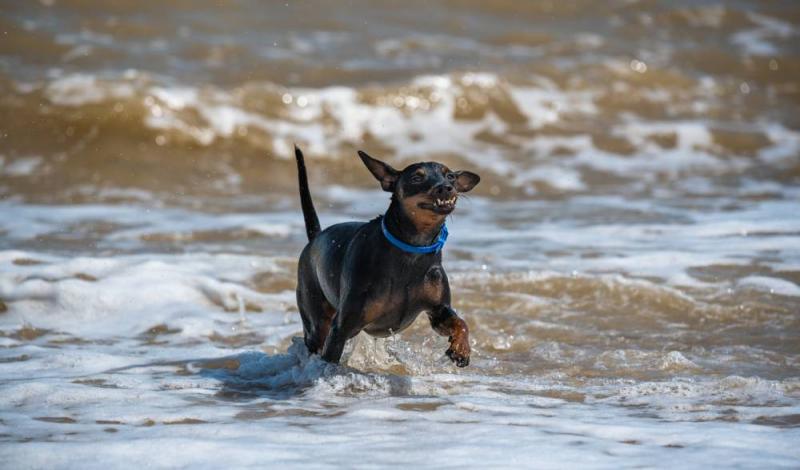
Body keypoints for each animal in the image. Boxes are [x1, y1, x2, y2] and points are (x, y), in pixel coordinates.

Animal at [296, 147, 478, 368]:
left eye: (450, 176)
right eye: (417, 178)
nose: (446, 188)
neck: (413, 249)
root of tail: (316, 236)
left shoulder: (438, 311)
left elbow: (461, 323)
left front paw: (461, 349)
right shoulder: (343, 327)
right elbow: (330, 359)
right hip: (316, 318)